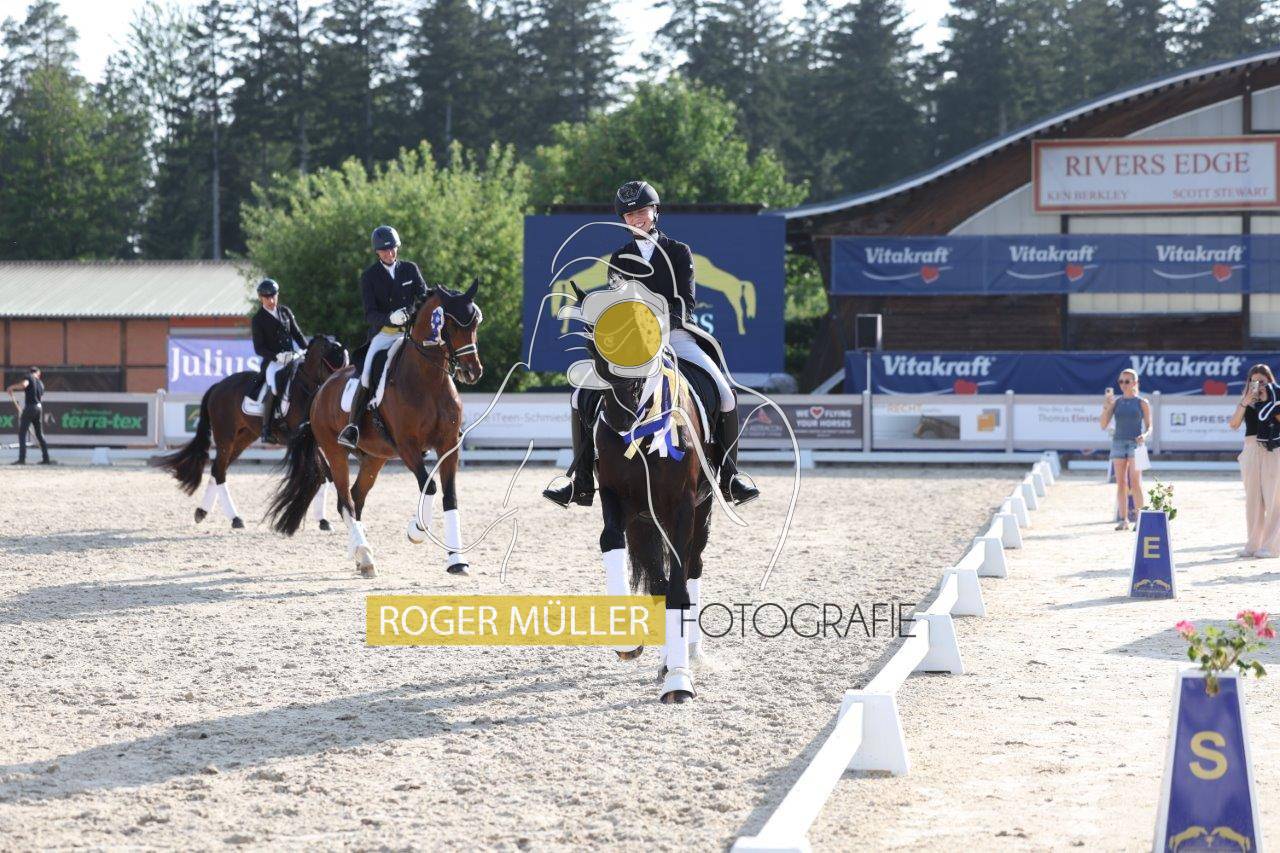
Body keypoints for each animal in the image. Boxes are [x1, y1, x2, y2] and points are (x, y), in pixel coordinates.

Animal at [156, 334, 349, 529]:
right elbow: (326, 474)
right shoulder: (304, 440)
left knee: (218, 469)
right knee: (219, 471)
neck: (305, 388)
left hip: (243, 438)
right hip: (225, 437)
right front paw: (340, 513)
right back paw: (235, 518)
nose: (333, 394)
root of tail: (218, 386)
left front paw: (325, 519)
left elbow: (327, 475)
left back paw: (202, 512)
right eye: (329, 356)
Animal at [265, 282, 484, 578]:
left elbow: (450, 498)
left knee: (356, 498)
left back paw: (360, 556)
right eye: (449, 323)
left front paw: (457, 561)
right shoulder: (407, 446)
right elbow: (429, 487)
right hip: (335, 453)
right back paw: (365, 555)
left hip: (374, 458)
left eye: (475, 322)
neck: (428, 380)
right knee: (345, 501)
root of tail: (321, 390)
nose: (472, 371)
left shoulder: (449, 445)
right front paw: (415, 531)